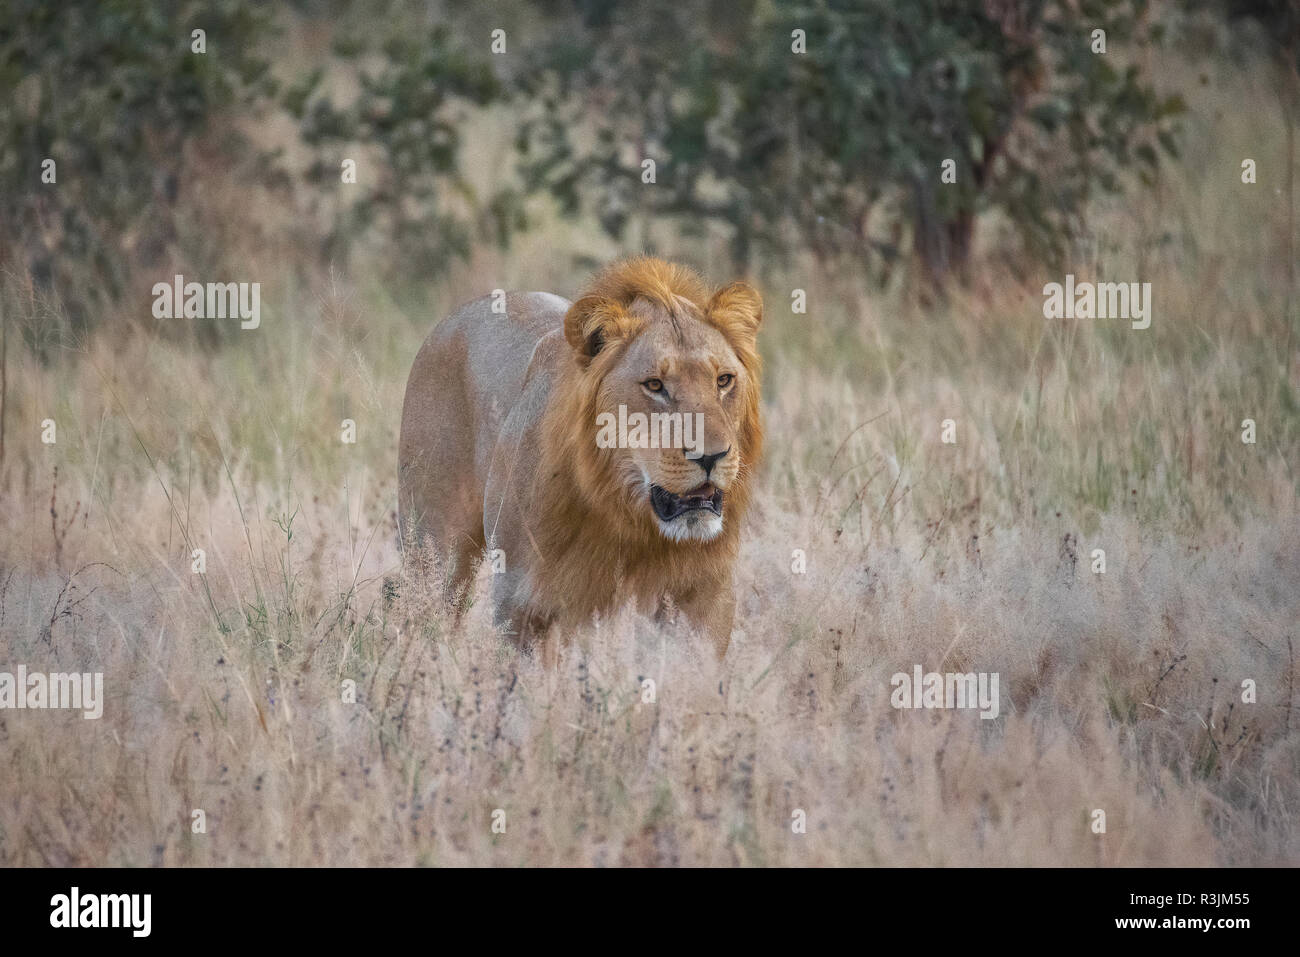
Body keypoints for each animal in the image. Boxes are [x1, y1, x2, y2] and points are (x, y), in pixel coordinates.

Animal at [398, 257, 763, 659]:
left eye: (724, 380)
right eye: (655, 385)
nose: (712, 456)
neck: (627, 517)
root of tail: (454, 316)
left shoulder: (705, 595)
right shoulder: (522, 600)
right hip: (434, 552)